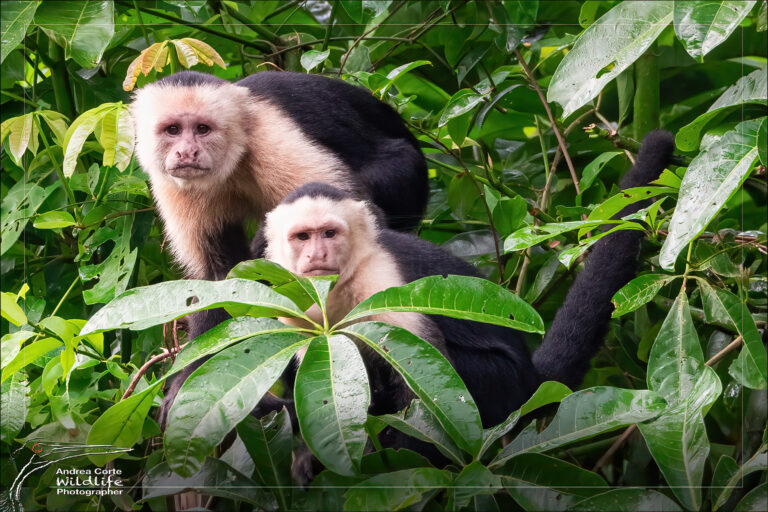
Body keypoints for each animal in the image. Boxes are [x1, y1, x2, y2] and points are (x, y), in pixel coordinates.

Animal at [131, 70, 429, 338]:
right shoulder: (174, 186)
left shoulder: (272, 138)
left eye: (202, 129)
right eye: (173, 130)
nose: (186, 152)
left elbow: (361, 214)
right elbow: (219, 278)